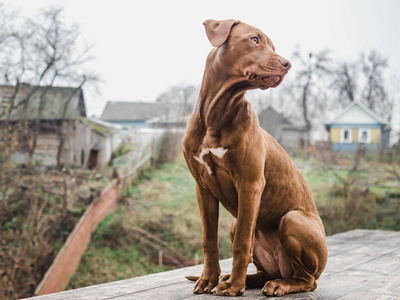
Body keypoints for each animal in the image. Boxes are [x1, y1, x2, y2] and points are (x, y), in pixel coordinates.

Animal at [183, 19, 326, 296]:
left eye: (273, 46)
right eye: (255, 39)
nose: (287, 64)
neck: (217, 114)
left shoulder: (249, 184)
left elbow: (241, 245)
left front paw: (233, 287)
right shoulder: (202, 187)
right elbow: (208, 239)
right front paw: (208, 280)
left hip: (292, 220)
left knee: (307, 280)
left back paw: (275, 284)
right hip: (236, 223)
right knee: (262, 269)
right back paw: (236, 278)